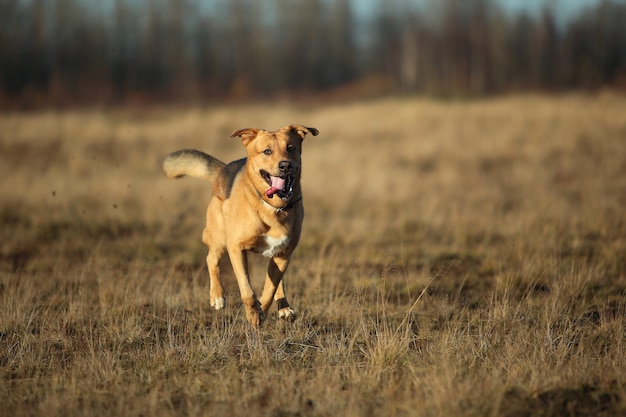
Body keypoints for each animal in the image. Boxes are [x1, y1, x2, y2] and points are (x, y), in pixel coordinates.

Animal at [161, 123, 316, 324]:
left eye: (291, 148)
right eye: (267, 151)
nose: (285, 165)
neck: (274, 207)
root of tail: (223, 170)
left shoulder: (283, 254)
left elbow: (269, 289)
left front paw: (261, 313)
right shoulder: (236, 248)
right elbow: (247, 290)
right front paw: (253, 314)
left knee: (275, 280)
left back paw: (284, 308)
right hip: (219, 237)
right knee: (211, 259)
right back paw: (217, 297)